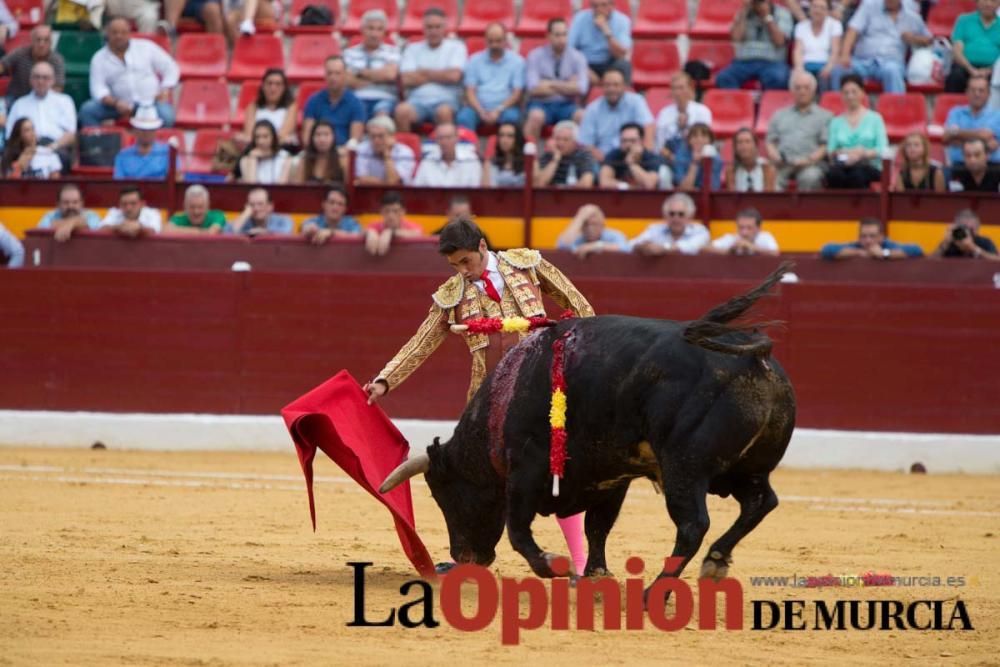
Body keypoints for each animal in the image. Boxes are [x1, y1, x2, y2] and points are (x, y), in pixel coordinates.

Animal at [382, 264, 796, 592]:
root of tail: (756, 360)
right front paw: (594, 576)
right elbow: (597, 528)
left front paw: (555, 566)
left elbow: (519, 531)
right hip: (744, 469)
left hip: (686, 466)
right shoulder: (611, 476)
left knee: (694, 524)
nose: (463, 556)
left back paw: (656, 592)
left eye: (442, 493)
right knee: (761, 502)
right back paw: (715, 562)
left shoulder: (525, 470)